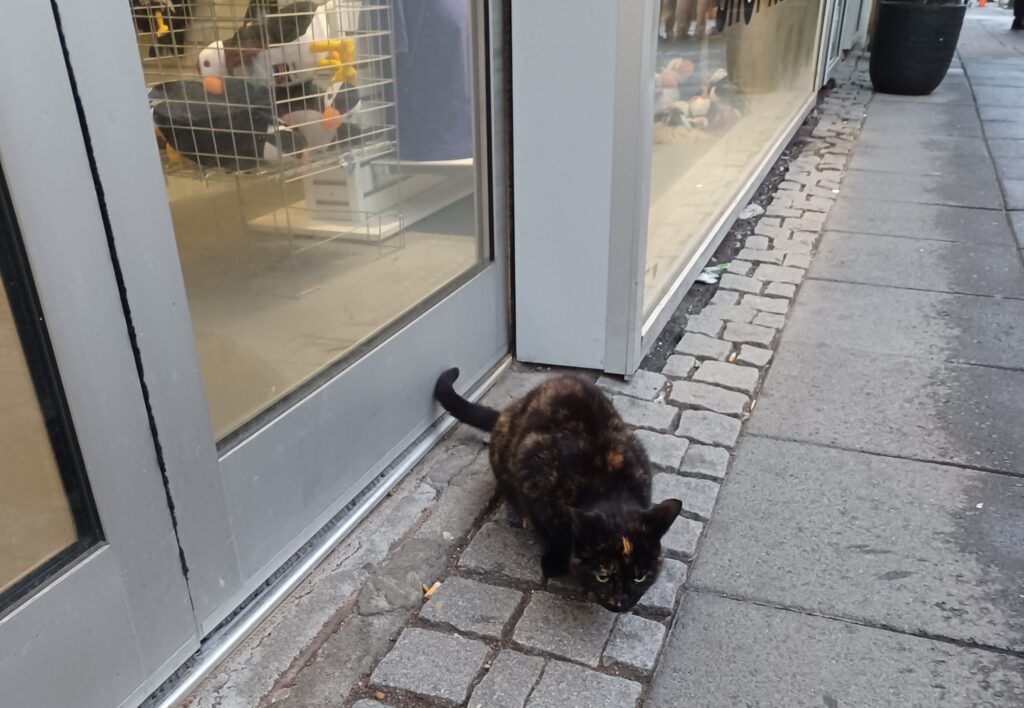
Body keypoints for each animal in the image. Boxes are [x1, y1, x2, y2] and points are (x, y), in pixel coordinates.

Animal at [434, 368, 679, 610]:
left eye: (640, 577)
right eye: (602, 576)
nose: (620, 602)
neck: (606, 486)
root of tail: (509, 409)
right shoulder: (531, 481)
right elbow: (550, 533)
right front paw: (555, 561)